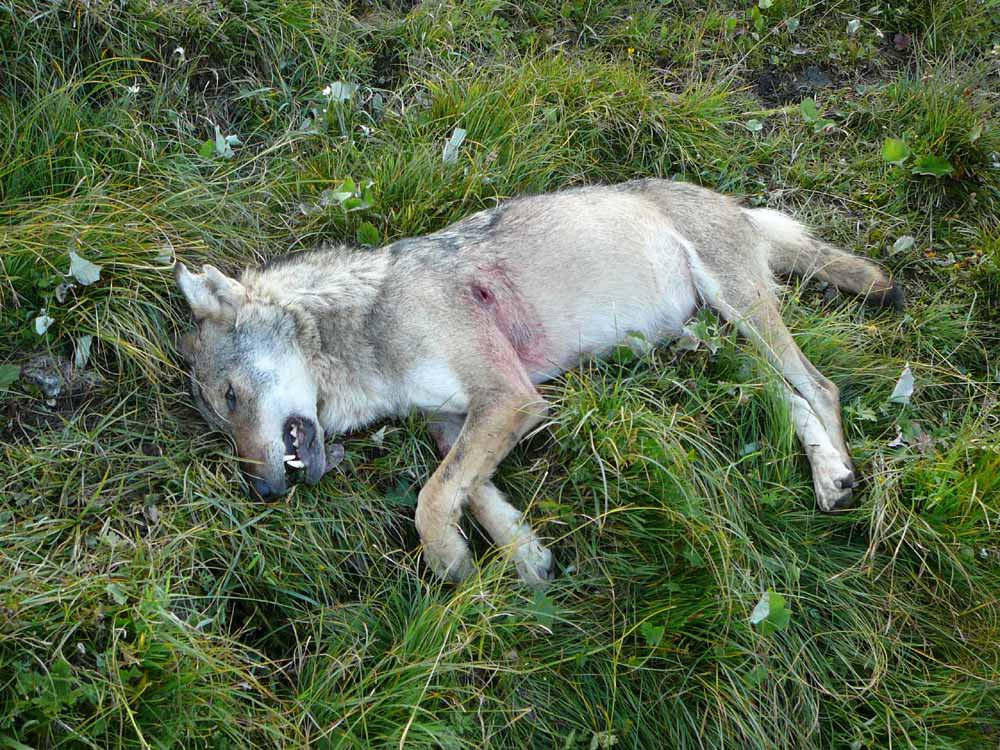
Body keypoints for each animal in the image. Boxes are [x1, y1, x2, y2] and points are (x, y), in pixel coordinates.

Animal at [175, 178, 901, 586]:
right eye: (221, 422)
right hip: (709, 353)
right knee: (792, 401)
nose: (264, 491)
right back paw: (828, 474)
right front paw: (527, 559)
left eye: (232, 398)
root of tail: (736, 204)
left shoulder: (510, 399)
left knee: (822, 387)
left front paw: (447, 560)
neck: (367, 327)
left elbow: (432, 498)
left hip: (742, 316)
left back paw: (844, 483)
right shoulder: (455, 424)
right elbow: (473, 496)